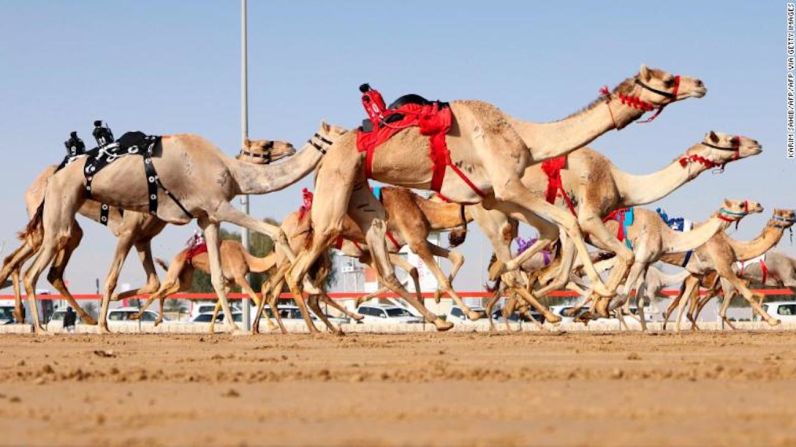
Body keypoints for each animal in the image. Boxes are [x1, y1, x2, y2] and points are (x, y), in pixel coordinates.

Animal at [660, 208, 796, 330]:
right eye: (783, 213)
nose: (793, 213)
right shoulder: (724, 268)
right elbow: (750, 294)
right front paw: (773, 321)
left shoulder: (700, 273)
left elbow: (684, 301)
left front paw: (677, 330)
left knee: (684, 304)